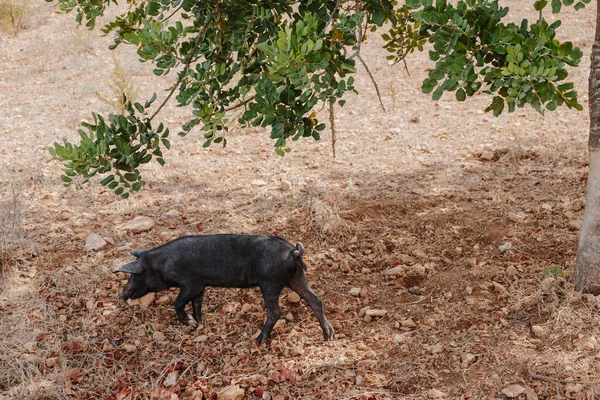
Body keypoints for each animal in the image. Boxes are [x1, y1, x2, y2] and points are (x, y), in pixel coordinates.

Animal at [115, 234, 336, 344]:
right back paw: (329, 336)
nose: (122, 294)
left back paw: (257, 340)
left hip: (270, 282)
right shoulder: (200, 286)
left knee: (275, 312)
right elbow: (197, 304)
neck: (162, 264)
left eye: (136, 274)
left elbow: (177, 302)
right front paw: (199, 324)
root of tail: (293, 251)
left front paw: (189, 323)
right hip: (297, 277)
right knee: (316, 300)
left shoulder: (191, 283)